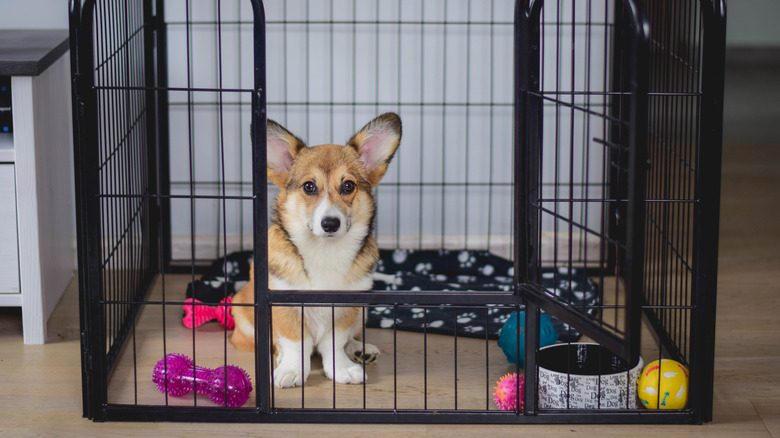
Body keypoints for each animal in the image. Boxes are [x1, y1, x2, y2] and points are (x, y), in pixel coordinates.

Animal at [230, 112, 402, 386]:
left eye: (348, 186)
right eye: (309, 187)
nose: (330, 224)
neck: (325, 251)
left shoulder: (346, 309)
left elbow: (335, 343)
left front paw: (342, 368)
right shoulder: (285, 306)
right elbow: (294, 343)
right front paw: (291, 371)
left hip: (362, 312)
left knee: (350, 339)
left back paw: (360, 350)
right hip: (244, 316)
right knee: (273, 344)